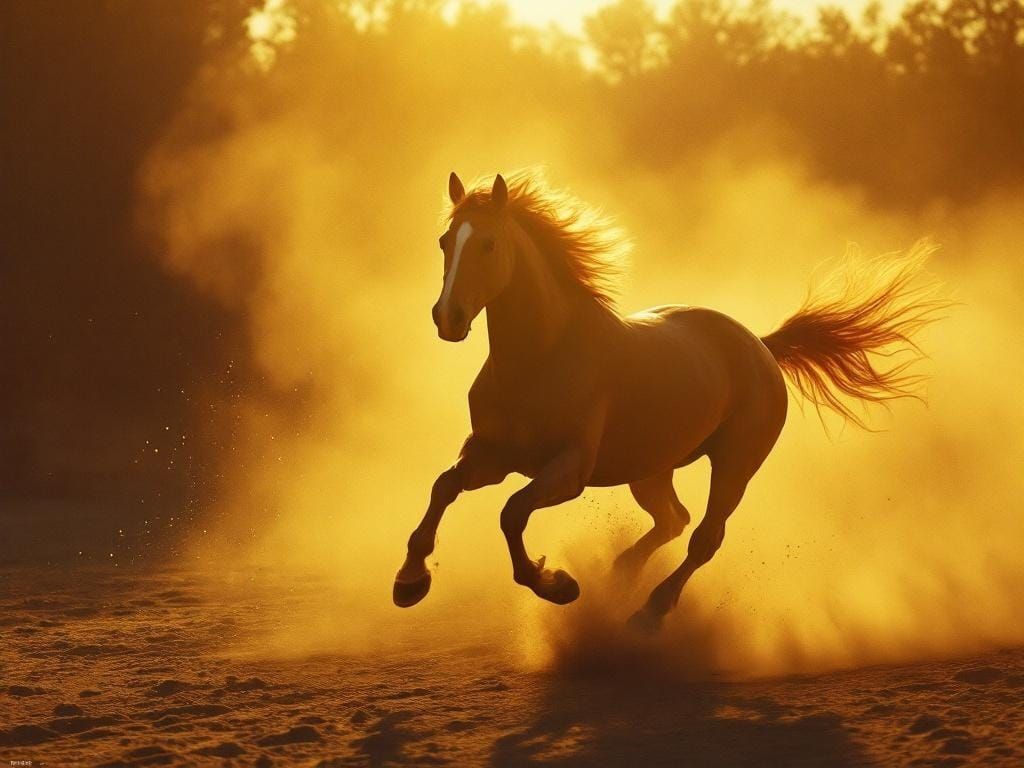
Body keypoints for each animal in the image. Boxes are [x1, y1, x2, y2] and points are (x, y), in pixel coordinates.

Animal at [393, 169, 949, 632]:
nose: (448, 317)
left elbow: (511, 513)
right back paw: (619, 573)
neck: (540, 360)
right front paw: (409, 582)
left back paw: (649, 610)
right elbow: (444, 486)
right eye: (445, 240)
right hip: (651, 469)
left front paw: (558, 585)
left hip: (735, 465)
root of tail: (760, 346)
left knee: (705, 536)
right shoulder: (492, 454)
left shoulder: (568, 471)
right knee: (673, 520)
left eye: (487, 243)